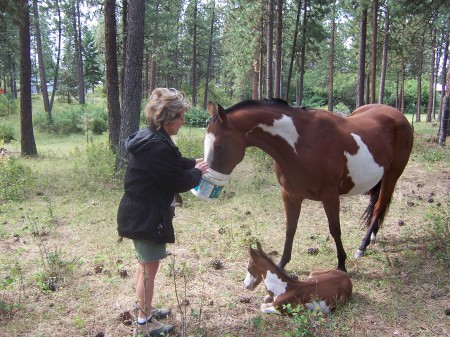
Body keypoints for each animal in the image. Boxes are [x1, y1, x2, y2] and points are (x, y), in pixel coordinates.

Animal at [206, 100, 414, 270]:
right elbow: (290, 228)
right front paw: (282, 264)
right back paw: (371, 237)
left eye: (219, 146)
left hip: (392, 175)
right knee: (376, 203)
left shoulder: (330, 196)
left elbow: (335, 229)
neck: (303, 142)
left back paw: (362, 246)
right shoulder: (290, 195)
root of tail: (398, 115)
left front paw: (341, 265)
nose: (210, 180)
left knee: (379, 206)